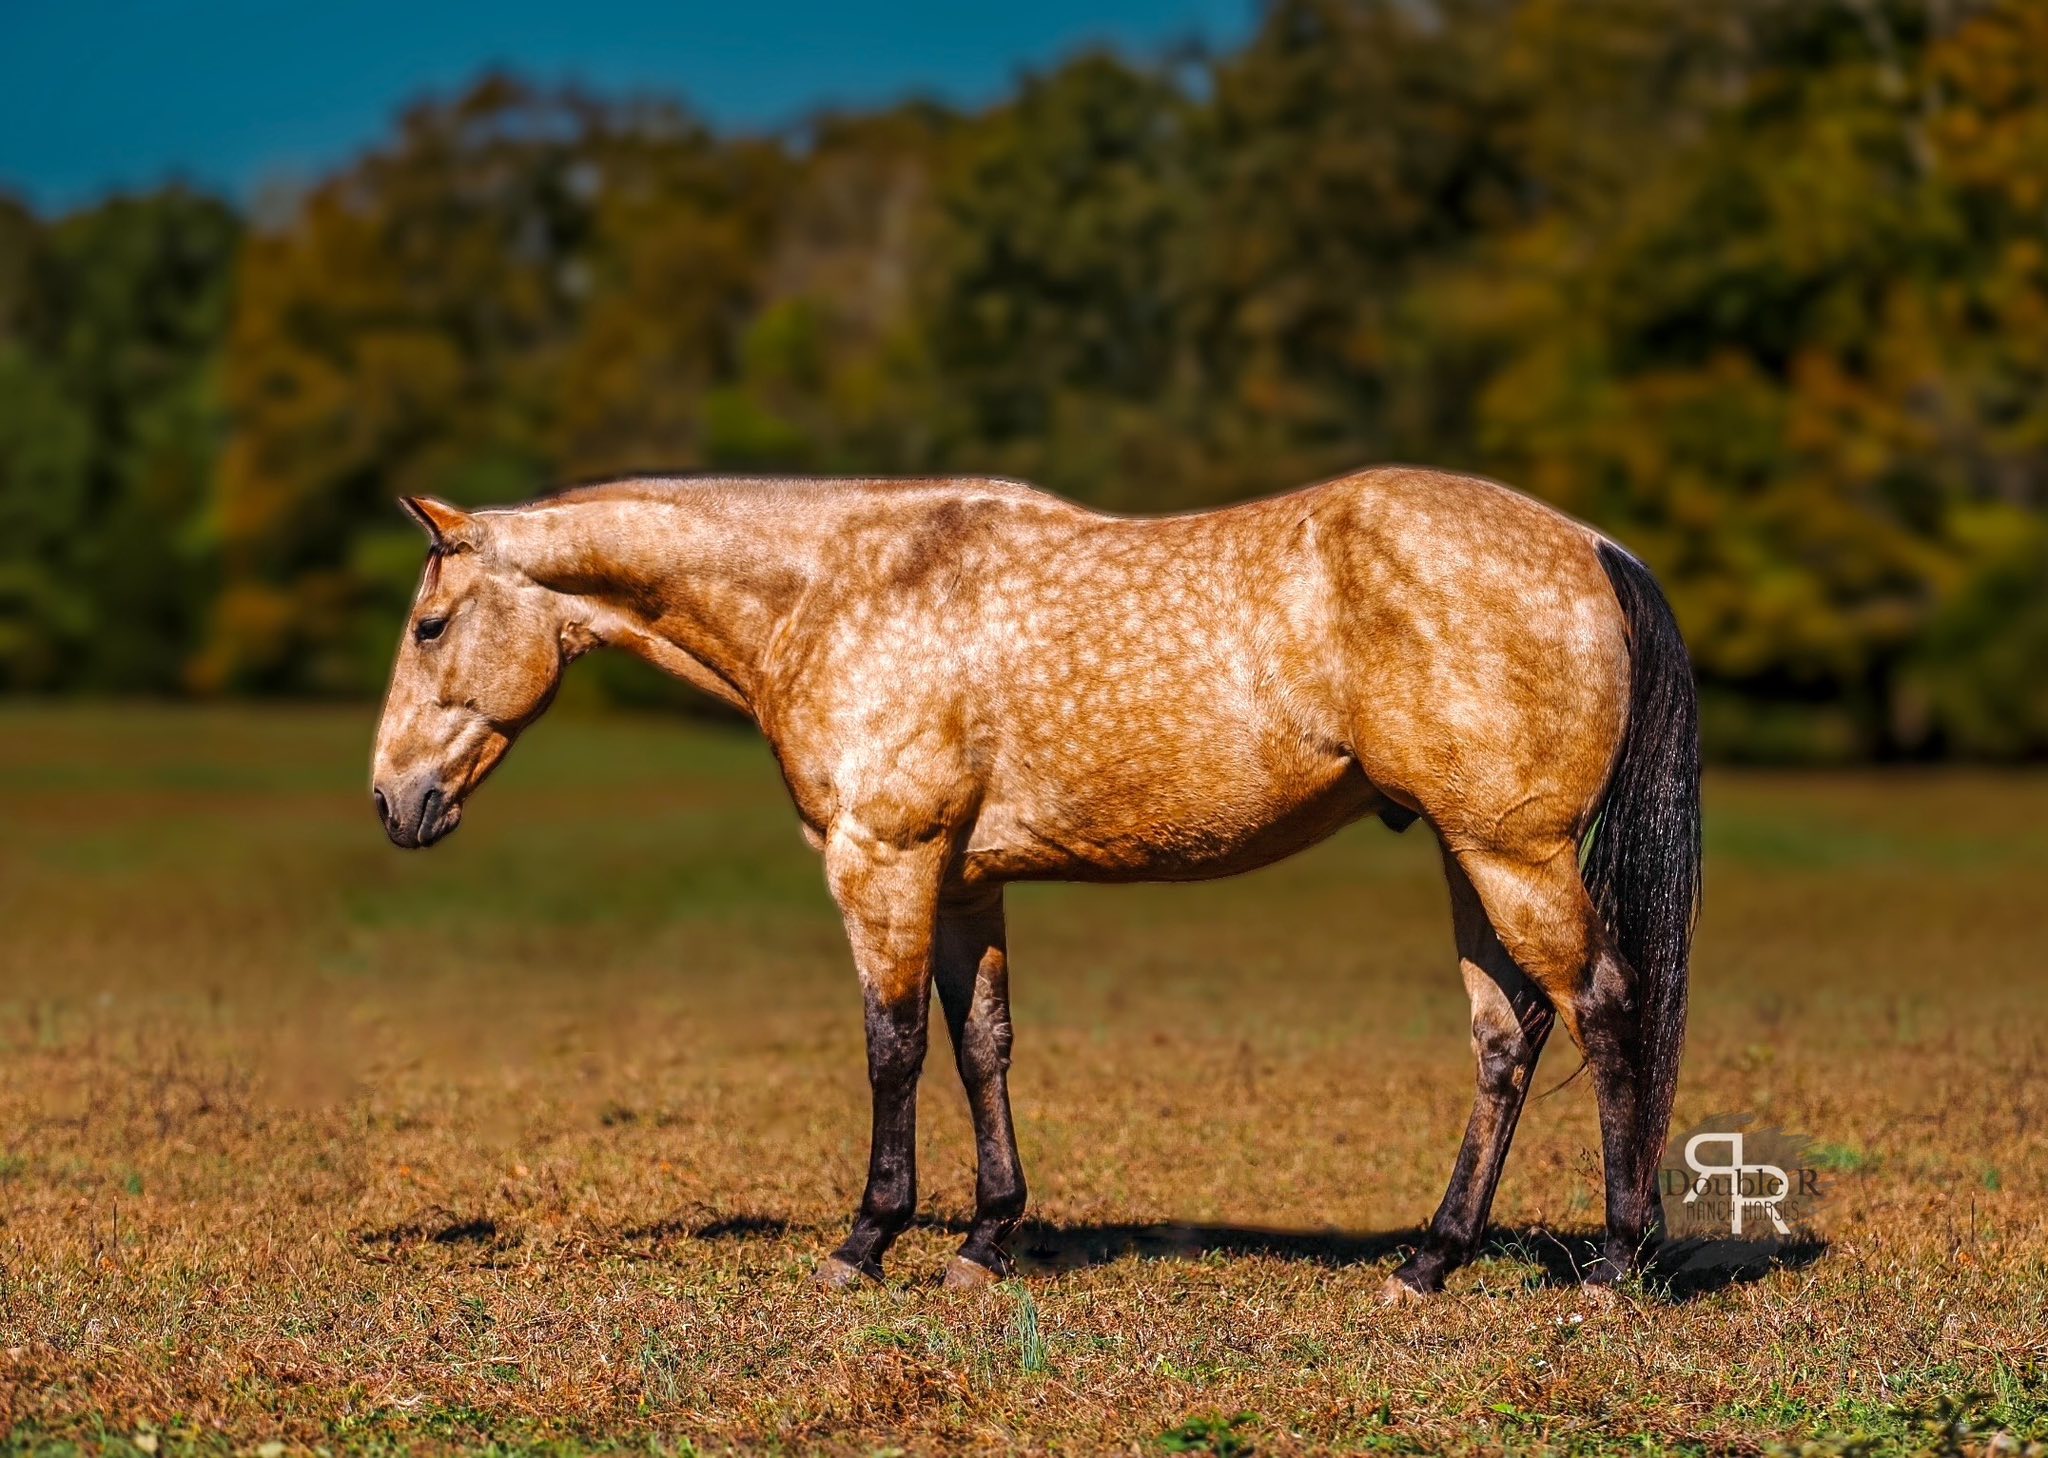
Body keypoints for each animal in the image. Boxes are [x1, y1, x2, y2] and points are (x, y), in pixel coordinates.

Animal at [370, 466, 1699, 1301]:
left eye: (430, 626)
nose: (393, 804)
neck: (836, 587)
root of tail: (1596, 547)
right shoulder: (961, 882)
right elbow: (981, 1047)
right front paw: (986, 1240)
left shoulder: (883, 860)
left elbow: (893, 1047)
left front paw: (866, 1242)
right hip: (1468, 854)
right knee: (1507, 1037)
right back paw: (1429, 1261)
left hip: (1510, 854)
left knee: (1604, 1007)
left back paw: (1615, 1264)